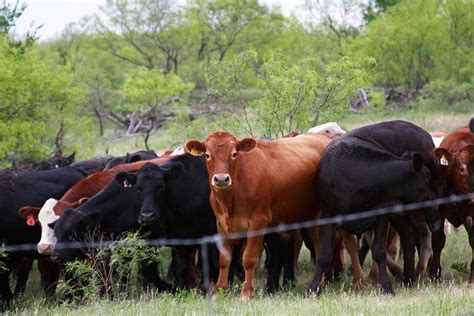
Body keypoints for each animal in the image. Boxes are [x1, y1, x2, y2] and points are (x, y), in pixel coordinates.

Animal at [185, 131, 362, 302]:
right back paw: (320, 285)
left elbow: (249, 258)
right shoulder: (221, 224)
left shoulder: (258, 222)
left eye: (234, 154)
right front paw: (219, 292)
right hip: (314, 216)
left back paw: (359, 282)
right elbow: (224, 259)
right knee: (320, 247)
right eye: (208, 155)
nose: (221, 179)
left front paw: (246, 293)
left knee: (350, 243)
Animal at [310, 119, 442, 296]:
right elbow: (324, 254)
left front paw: (386, 286)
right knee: (409, 234)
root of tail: (422, 132)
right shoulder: (328, 215)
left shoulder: (382, 214)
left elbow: (379, 251)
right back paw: (408, 278)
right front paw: (313, 288)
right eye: (425, 177)